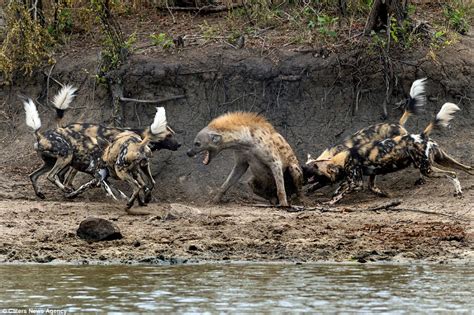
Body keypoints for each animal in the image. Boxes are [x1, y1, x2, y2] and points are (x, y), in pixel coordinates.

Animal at [312, 102, 470, 204]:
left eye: (315, 175)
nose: (308, 188)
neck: (342, 157)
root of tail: (421, 135)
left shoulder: (356, 183)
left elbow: (339, 194)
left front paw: (329, 203)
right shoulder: (364, 176)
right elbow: (344, 188)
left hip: (428, 170)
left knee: (452, 174)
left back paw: (458, 192)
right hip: (442, 159)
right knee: (467, 168)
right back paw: (460, 189)